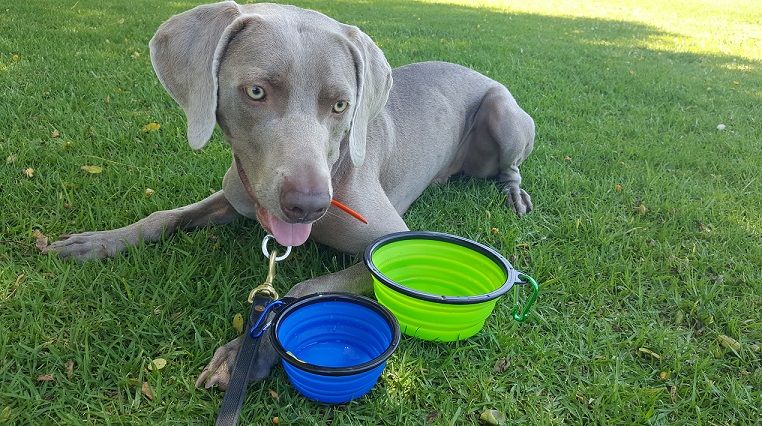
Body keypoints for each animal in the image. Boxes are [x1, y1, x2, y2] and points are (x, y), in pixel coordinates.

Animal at [49, 1, 536, 392]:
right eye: (256, 91)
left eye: (340, 105)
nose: (309, 206)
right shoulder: (237, 195)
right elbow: (165, 216)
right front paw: (95, 243)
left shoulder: (386, 240)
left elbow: (304, 287)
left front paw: (245, 352)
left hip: (503, 112)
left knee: (510, 167)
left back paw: (515, 197)